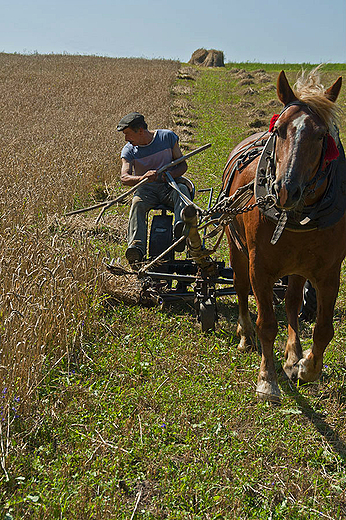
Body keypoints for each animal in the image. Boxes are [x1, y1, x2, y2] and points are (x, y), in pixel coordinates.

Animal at [223, 69, 344, 400]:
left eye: (321, 135)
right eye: (279, 131)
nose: (285, 189)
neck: (297, 216)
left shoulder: (328, 272)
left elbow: (323, 329)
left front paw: (304, 366)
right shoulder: (260, 267)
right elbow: (266, 323)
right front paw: (267, 379)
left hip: (298, 268)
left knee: (291, 303)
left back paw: (292, 354)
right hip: (236, 248)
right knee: (240, 287)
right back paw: (245, 334)